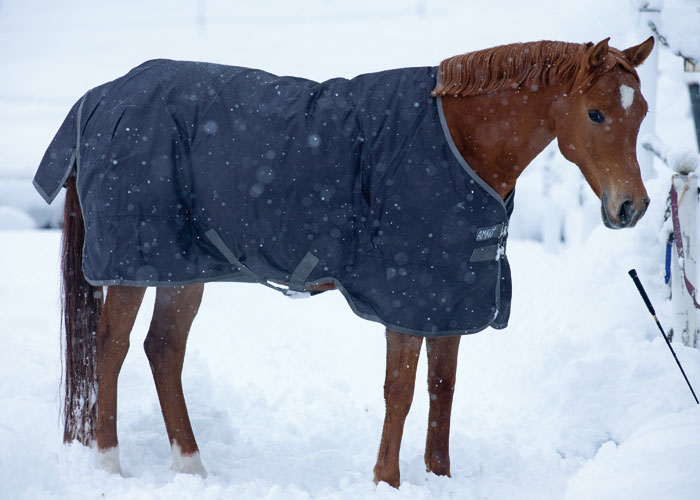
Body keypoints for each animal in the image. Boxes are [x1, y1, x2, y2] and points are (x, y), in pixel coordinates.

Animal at [35, 36, 654, 487]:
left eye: (641, 111)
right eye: (596, 113)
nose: (633, 207)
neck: (457, 142)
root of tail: (104, 95)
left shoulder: (446, 298)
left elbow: (442, 390)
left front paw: (440, 477)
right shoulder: (405, 297)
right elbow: (400, 392)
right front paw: (386, 481)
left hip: (181, 269)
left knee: (163, 350)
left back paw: (192, 468)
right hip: (134, 263)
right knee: (111, 348)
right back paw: (109, 466)